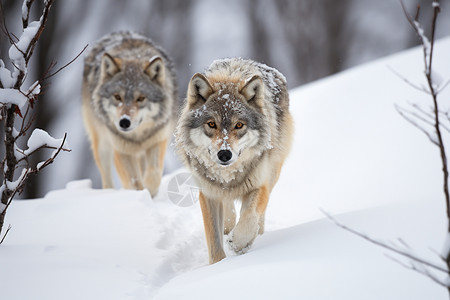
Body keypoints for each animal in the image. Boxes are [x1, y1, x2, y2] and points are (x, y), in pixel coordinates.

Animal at [82, 32, 178, 197]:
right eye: (117, 97)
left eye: (140, 98)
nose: (124, 122)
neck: (137, 137)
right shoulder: (122, 150)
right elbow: (134, 182)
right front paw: (140, 195)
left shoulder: (157, 141)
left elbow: (153, 174)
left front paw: (150, 192)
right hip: (102, 146)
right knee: (106, 178)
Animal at [176, 57, 296, 264]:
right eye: (211, 124)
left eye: (239, 125)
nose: (224, 154)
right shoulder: (208, 193)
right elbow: (214, 241)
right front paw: (219, 264)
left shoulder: (259, 185)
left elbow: (249, 216)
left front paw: (240, 243)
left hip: (273, 172)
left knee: (259, 214)